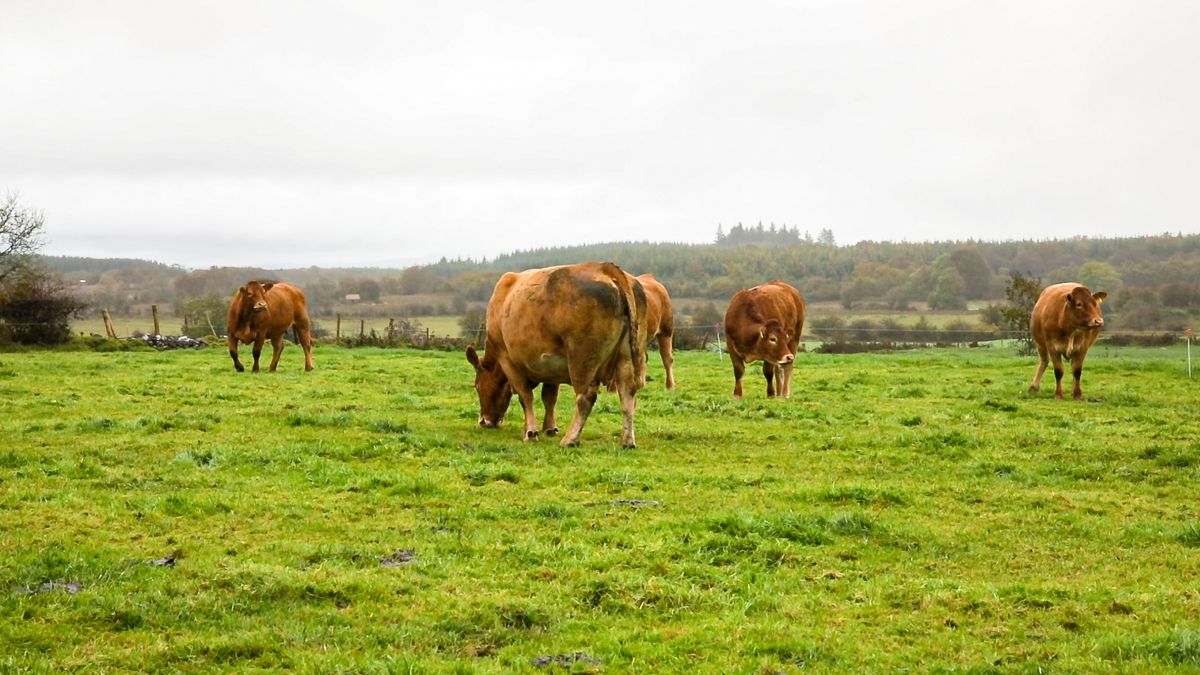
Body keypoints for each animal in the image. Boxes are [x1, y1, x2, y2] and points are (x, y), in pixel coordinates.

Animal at [465, 262, 646, 448]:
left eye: (477, 386)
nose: (484, 421)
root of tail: (606, 268)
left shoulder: (507, 359)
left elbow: (525, 396)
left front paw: (531, 432)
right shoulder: (551, 367)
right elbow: (549, 397)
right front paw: (549, 428)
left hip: (582, 361)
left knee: (585, 398)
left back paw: (570, 439)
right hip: (626, 356)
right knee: (628, 393)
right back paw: (627, 440)